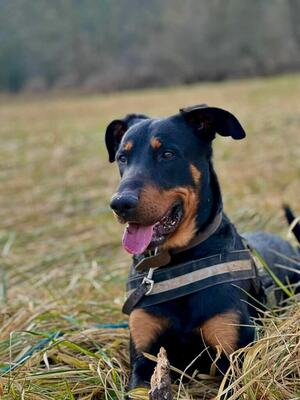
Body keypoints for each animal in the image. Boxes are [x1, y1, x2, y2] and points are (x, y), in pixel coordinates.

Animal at [104, 104, 298, 392]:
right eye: (122, 157)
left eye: (167, 154)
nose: (120, 204)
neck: (177, 261)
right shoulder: (143, 361)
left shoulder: (234, 359)